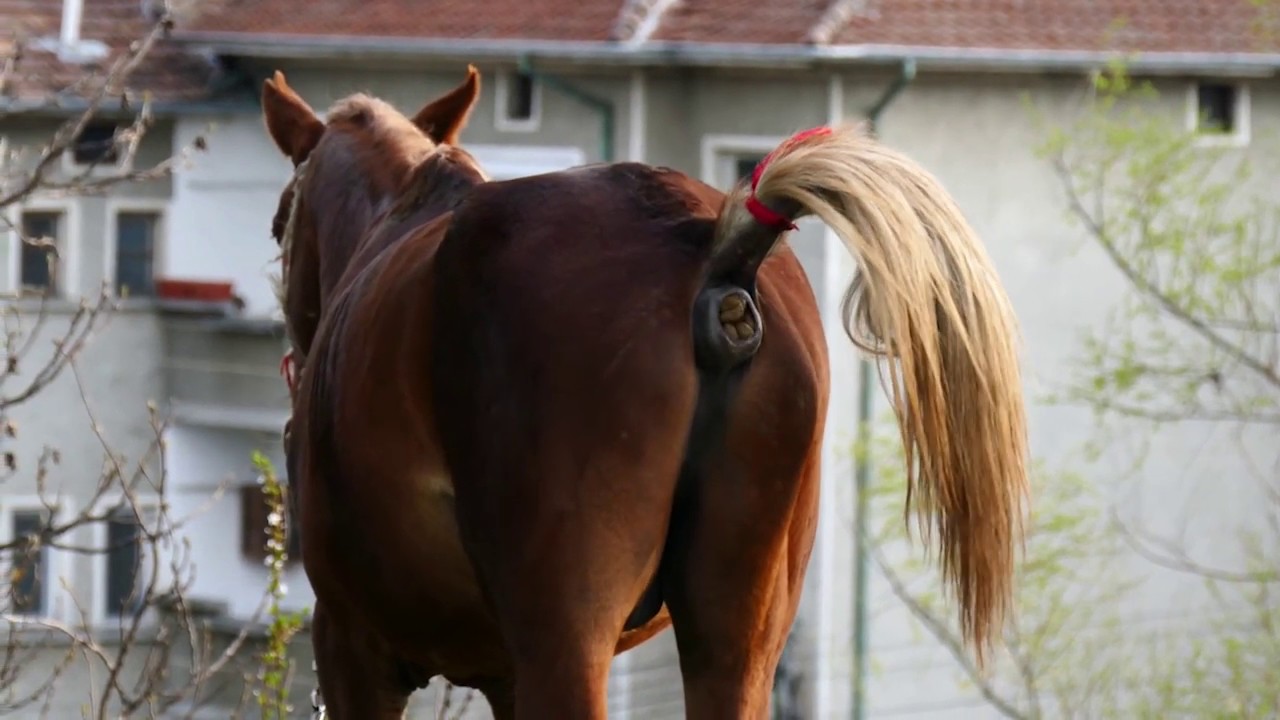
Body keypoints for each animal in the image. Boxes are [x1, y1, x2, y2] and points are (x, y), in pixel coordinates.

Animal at [259, 64, 1029, 712]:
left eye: (276, 221)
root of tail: (720, 254)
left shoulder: (353, 648)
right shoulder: (501, 675)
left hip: (567, 642)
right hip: (739, 645)